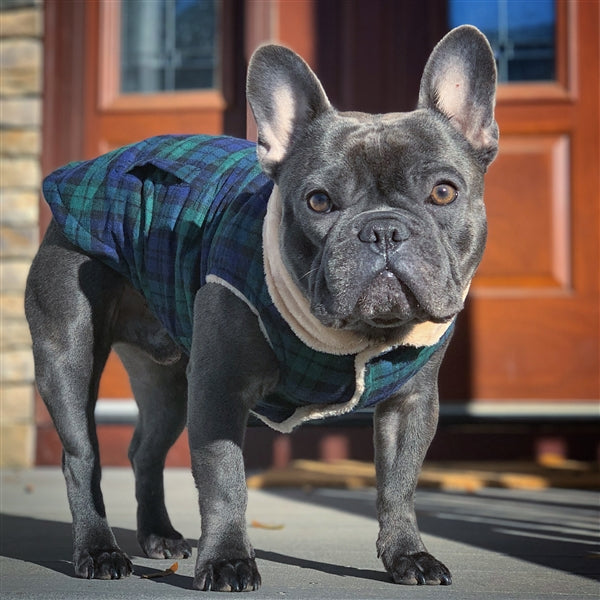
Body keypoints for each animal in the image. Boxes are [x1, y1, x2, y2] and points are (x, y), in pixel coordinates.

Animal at [24, 24, 496, 592]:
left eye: (443, 192)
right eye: (319, 201)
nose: (382, 229)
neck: (353, 338)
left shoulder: (411, 403)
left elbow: (399, 482)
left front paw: (408, 554)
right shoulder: (220, 390)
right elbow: (224, 478)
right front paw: (228, 560)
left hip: (170, 382)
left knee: (145, 451)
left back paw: (159, 535)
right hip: (69, 353)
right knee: (82, 456)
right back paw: (98, 550)